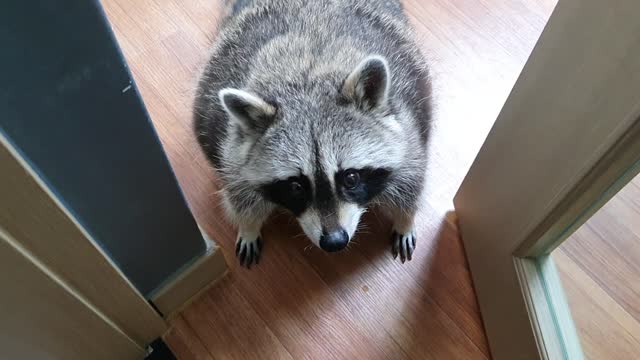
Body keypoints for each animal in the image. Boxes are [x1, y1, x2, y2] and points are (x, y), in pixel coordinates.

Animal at [195, 0, 432, 268]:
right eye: (296, 186)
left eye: (351, 178)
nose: (335, 241)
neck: (308, 81)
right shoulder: (232, 148)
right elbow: (239, 192)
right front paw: (248, 226)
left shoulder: (408, 123)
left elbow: (410, 179)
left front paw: (405, 220)